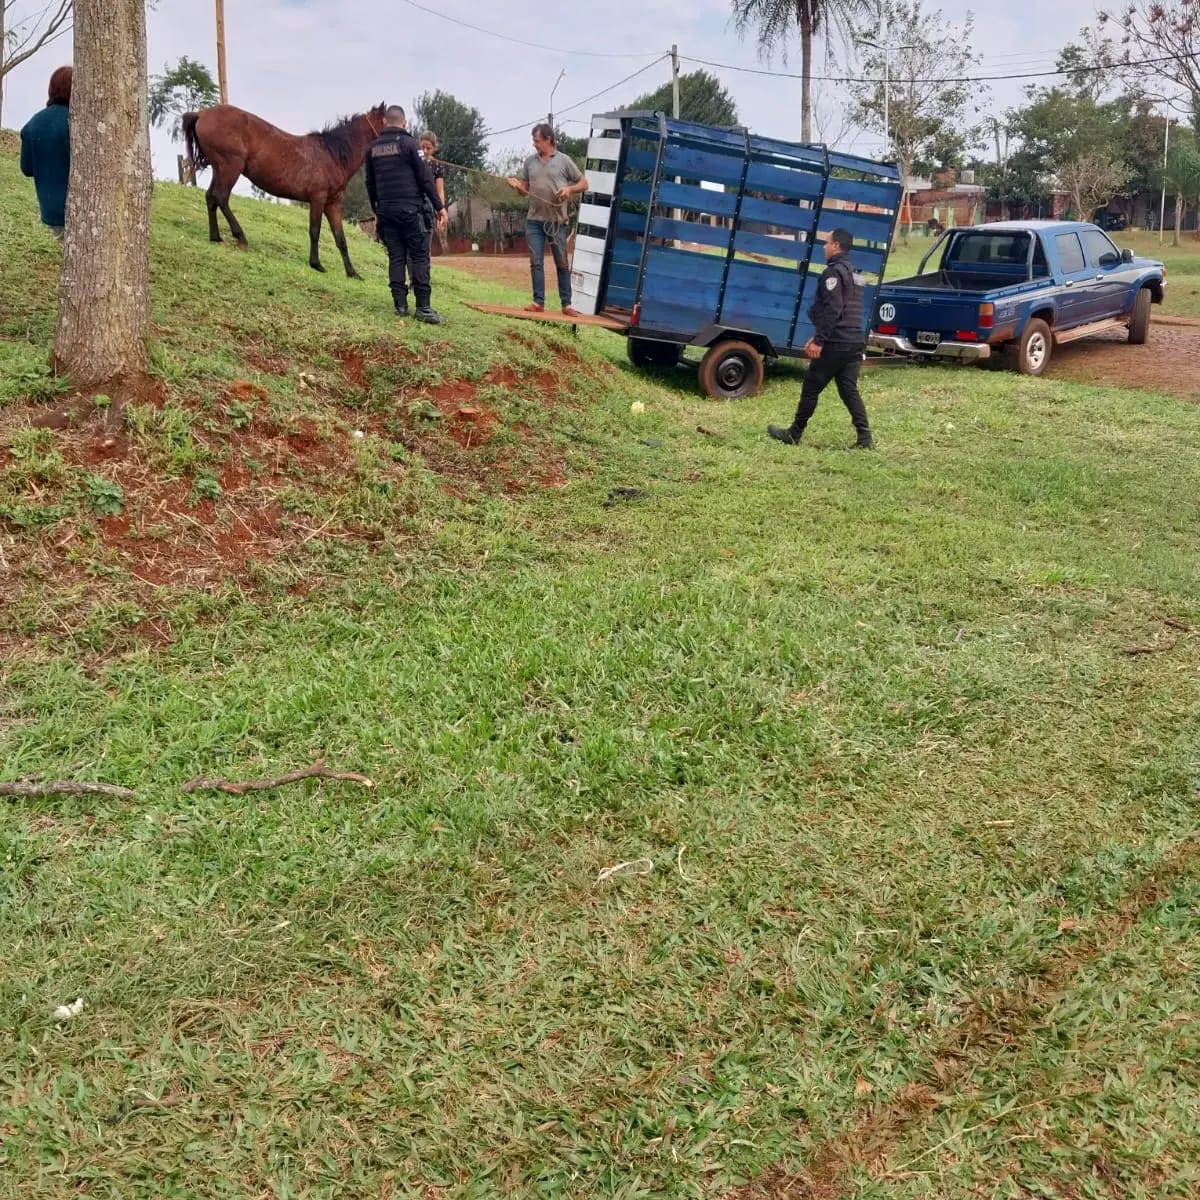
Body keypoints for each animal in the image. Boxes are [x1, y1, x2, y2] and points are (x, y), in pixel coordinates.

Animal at [180, 103, 386, 276]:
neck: (332, 155)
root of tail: (201, 114)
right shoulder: (318, 199)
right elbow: (315, 231)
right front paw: (316, 264)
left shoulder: (333, 204)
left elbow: (341, 239)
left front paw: (352, 273)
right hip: (230, 168)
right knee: (221, 198)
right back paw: (241, 237)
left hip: (219, 169)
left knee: (211, 198)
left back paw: (215, 237)